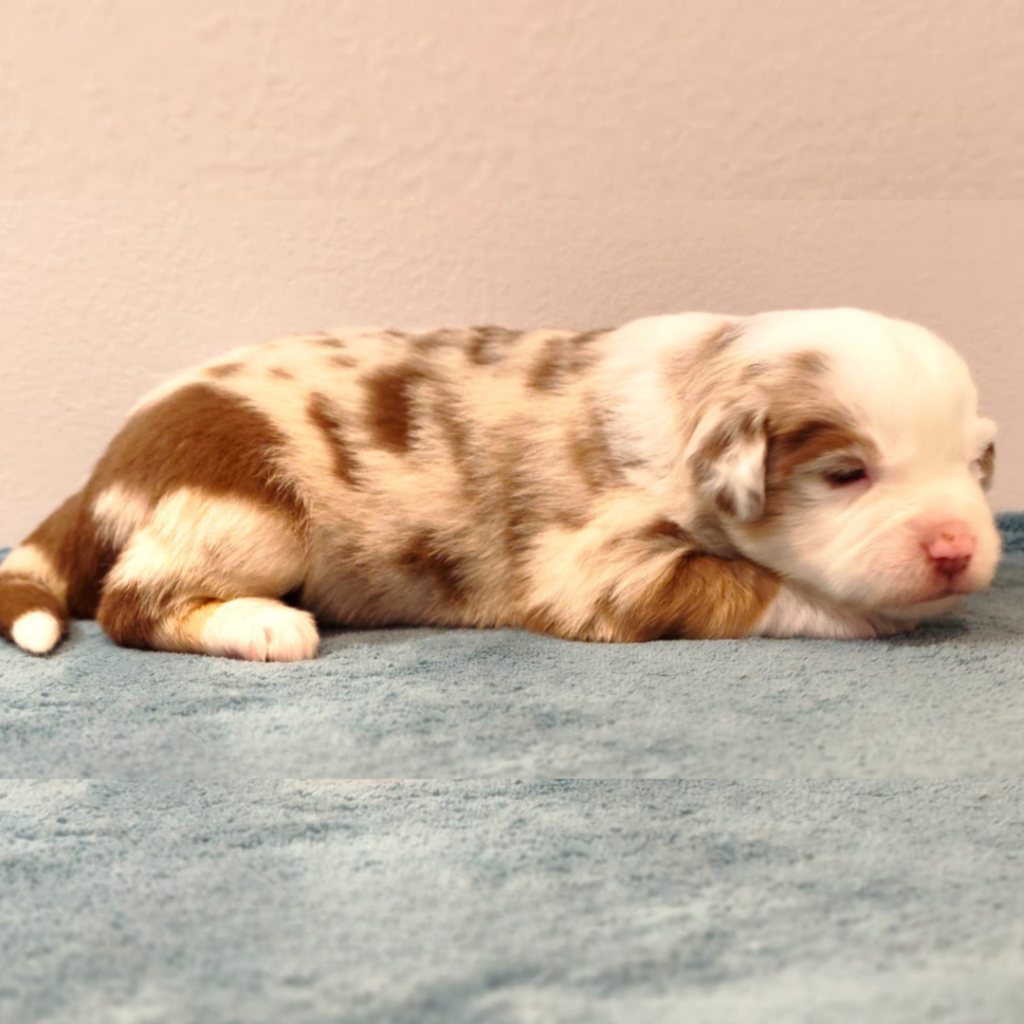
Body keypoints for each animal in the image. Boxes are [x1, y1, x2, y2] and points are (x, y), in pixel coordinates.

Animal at [0, 308, 999, 660]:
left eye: (975, 467)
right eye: (846, 473)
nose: (957, 550)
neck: (697, 381)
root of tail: (108, 467)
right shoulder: (600, 571)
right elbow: (751, 585)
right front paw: (864, 615)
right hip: (249, 513)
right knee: (131, 602)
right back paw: (265, 626)